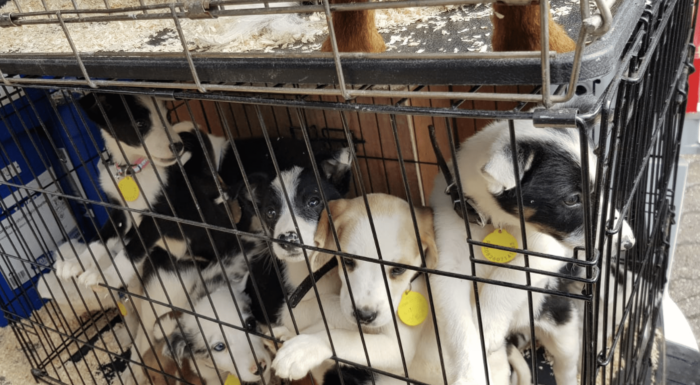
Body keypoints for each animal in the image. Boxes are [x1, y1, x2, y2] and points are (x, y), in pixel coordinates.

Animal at [270, 194, 440, 382]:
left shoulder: (398, 348)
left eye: (398, 269)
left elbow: (345, 337)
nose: (364, 316)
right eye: (348, 261)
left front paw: (303, 348)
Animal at [430, 118, 636, 382]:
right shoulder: (448, 270)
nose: (628, 243)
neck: (495, 223)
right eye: (572, 199)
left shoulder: (547, 250)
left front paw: (488, 325)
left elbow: (507, 277)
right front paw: (471, 374)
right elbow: (460, 328)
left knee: (566, 367)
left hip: (563, 328)